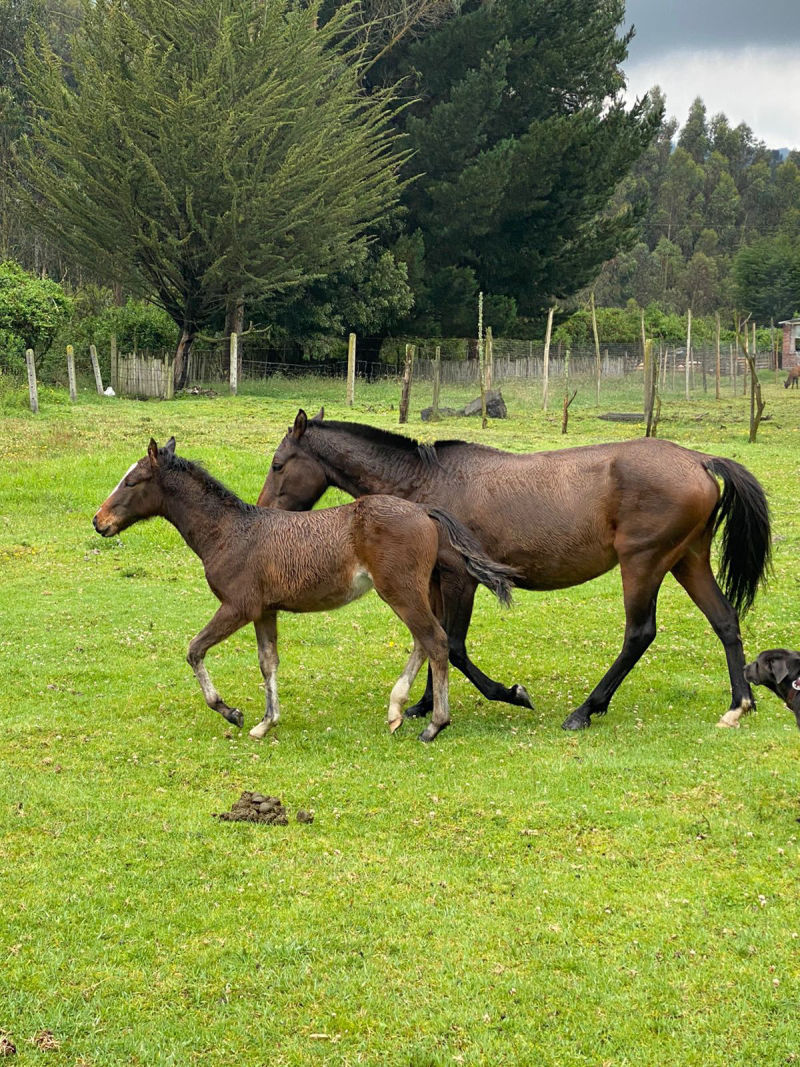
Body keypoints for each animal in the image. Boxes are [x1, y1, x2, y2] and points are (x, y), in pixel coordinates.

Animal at [95, 437, 520, 738]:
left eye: (132, 481)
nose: (99, 521)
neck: (229, 531)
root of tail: (422, 510)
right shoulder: (264, 610)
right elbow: (268, 662)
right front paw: (266, 722)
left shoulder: (238, 607)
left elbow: (195, 650)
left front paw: (231, 712)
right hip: (412, 591)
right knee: (424, 641)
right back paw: (396, 710)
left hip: (400, 590)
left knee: (434, 640)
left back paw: (434, 724)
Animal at [260, 409, 772, 734]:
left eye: (278, 463)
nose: (263, 512)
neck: (425, 484)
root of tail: (698, 459)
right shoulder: (433, 580)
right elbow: (433, 641)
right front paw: (425, 703)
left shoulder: (461, 579)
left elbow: (454, 646)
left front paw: (510, 693)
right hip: (688, 560)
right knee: (725, 620)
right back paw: (738, 705)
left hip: (643, 564)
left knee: (639, 633)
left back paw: (586, 710)